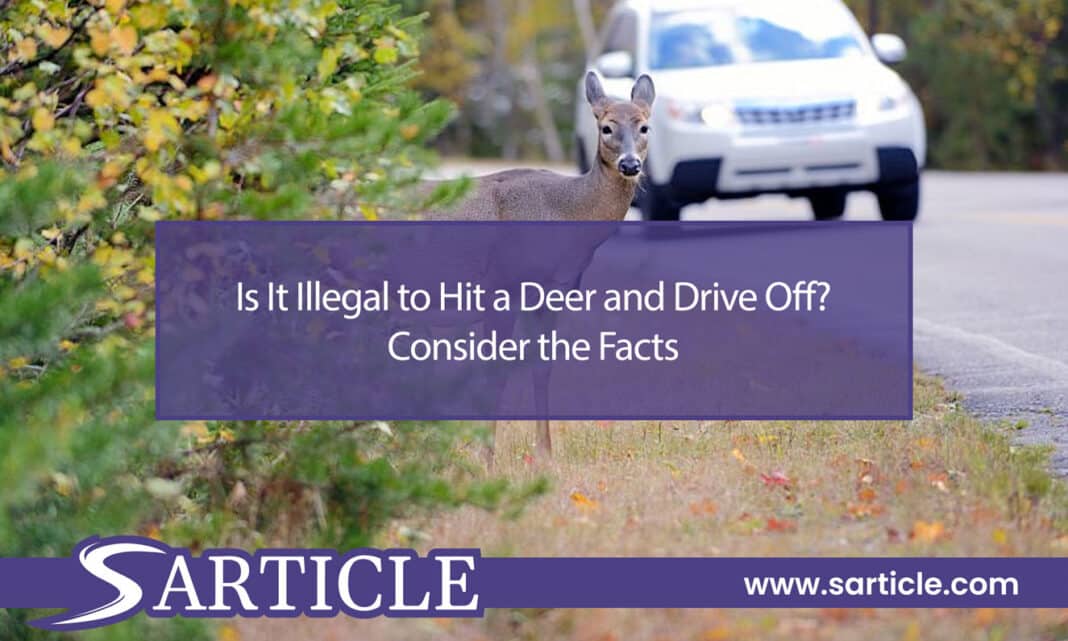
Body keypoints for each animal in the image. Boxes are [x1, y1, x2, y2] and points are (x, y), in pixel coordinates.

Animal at [433, 71, 656, 465]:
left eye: (644, 126)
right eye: (606, 127)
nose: (631, 165)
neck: (564, 214)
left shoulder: (551, 292)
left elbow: (542, 367)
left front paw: (545, 455)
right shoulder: (501, 283)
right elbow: (496, 370)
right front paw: (486, 459)